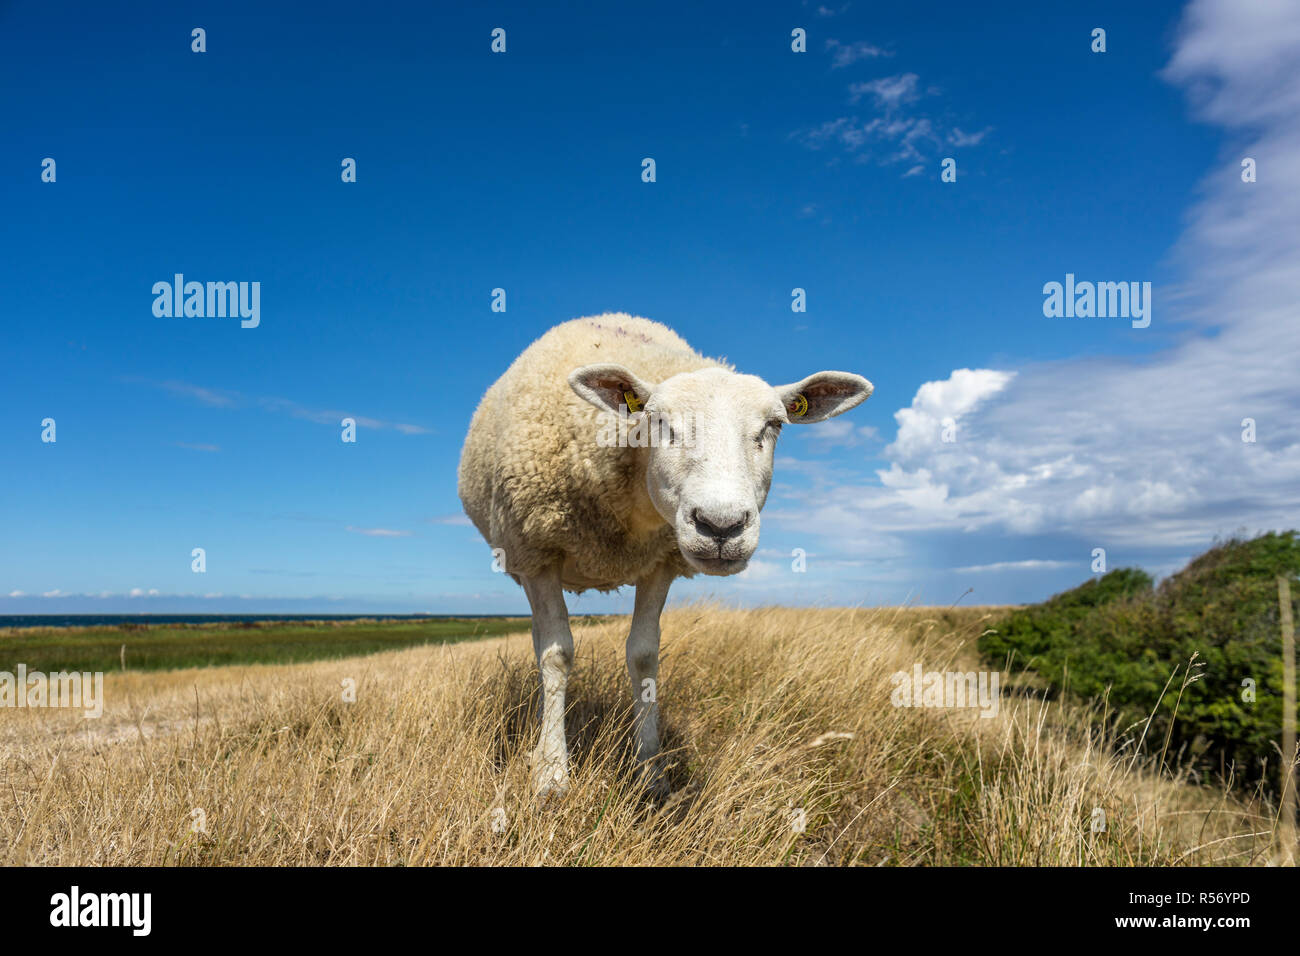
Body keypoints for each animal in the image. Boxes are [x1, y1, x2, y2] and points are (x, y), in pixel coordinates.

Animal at [457, 314, 873, 801]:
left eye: (775, 425)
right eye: (657, 420)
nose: (721, 525)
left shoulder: (661, 563)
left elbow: (643, 656)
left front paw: (651, 772)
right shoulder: (539, 552)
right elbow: (557, 657)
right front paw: (552, 776)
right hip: (522, 557)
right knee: (544, 641)